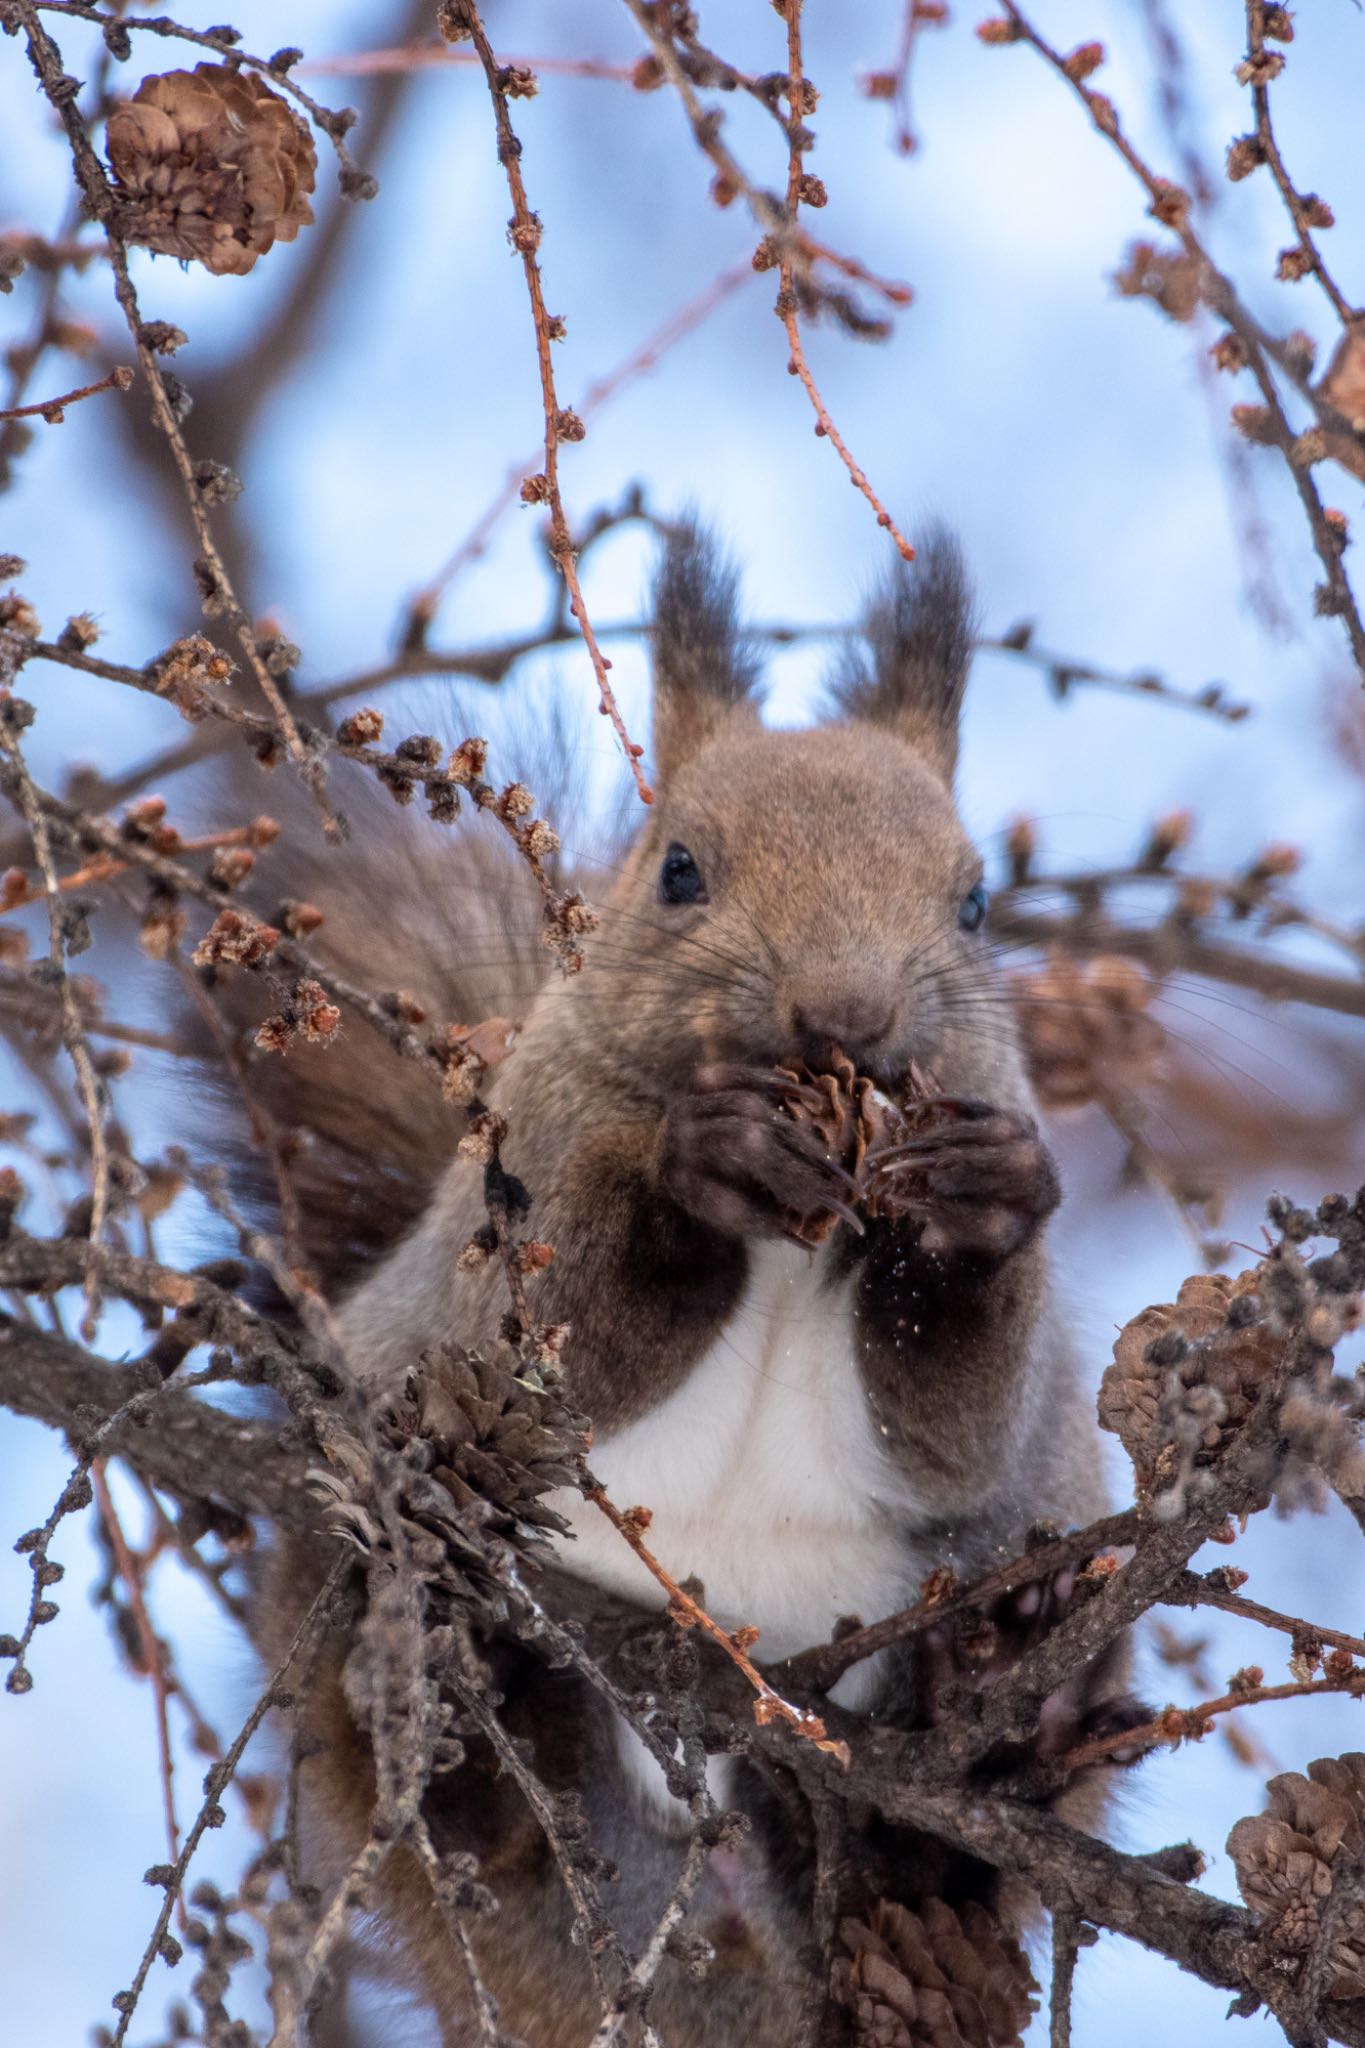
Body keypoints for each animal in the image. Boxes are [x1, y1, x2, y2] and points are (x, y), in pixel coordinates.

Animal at [240, 528, 1137, 2048]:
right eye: (677, 870)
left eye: (975, 902)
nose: (844, 1015)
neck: (797, 1229)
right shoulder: (515, 1214)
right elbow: (565, 1348)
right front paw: (695, 1164)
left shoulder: (986, 1420)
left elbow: (958, 1430)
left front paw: (974, 1207)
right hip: (345, 1541)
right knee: (468, 1826)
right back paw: (469, 1708)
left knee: (937, 1862)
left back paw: (991, 1721)